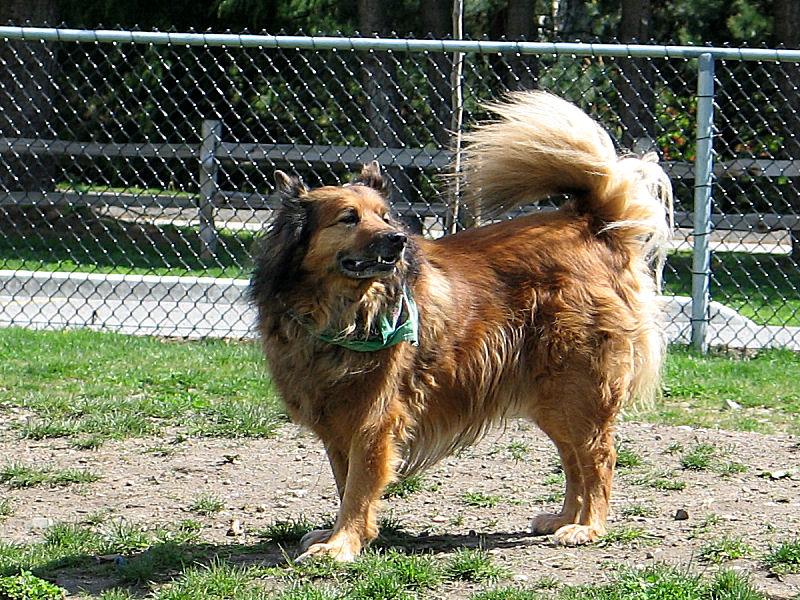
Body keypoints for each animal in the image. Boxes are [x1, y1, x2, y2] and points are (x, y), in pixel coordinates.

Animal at [248, 91, 668, 560]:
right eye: (349, 218)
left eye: (384, 216)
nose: (398, 240)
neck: (345, 310)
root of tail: (592, 224)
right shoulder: (339, 419)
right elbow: (344, 483)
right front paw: (345, 535)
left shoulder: (376, 417)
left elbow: (358, 486)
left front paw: (342, 544)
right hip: (554, 396)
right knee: (574, 458)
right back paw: (564, 518)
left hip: (578, 386)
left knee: (599, 456)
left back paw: (587, 526)